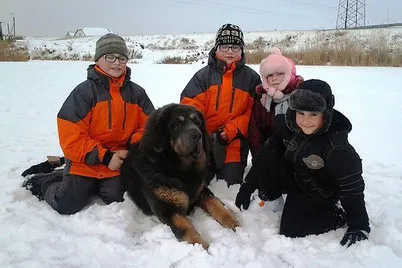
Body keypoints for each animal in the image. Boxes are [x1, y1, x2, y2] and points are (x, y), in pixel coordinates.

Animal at [119, 103, 239, 249]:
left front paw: (233, 223)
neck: (179, 169)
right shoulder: (168, 209)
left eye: (197, 123)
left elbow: (216, 203)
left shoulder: (201, 190)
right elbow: (186, 227)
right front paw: (202, 247)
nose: (197, 135)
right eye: (177, 124)